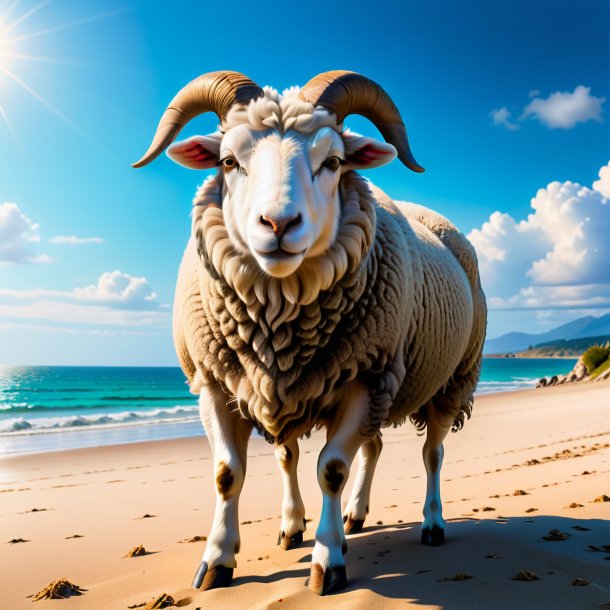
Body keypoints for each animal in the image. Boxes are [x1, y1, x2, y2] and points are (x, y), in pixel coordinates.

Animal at [132, 70, 484, 592]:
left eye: (334, 162)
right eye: (227, 161)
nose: (278, 224)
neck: (279, 325)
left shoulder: (363, 377)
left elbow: (331, 470)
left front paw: (326, 561)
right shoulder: (224, 381)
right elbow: (233, 471)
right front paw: (226, 555)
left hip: (453, 377)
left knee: (433, 454)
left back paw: (432, 523)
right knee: (374, 446)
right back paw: (355, 516)